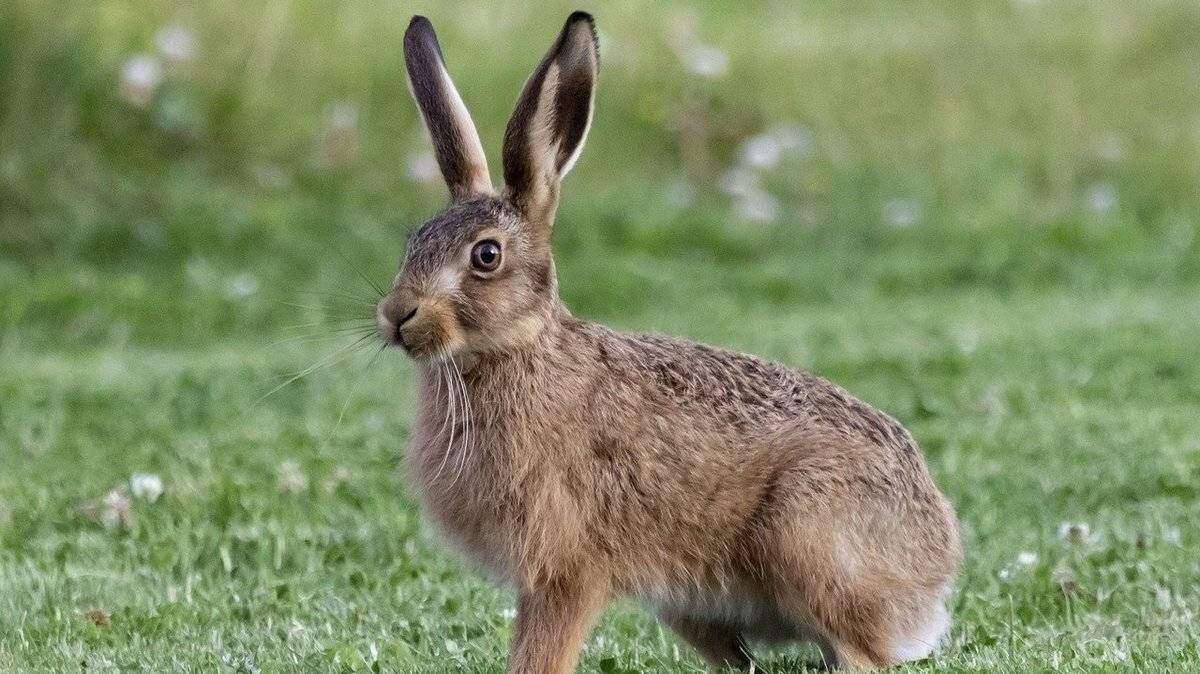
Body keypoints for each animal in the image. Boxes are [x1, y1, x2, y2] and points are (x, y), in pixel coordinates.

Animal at [377, 11, 961, 673]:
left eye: (486, 256)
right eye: (413, 241)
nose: (396, 315)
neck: (514, 352)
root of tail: (935, 564)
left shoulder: (566, 568)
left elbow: (541, 652)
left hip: (809, 538)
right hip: (692, 607)